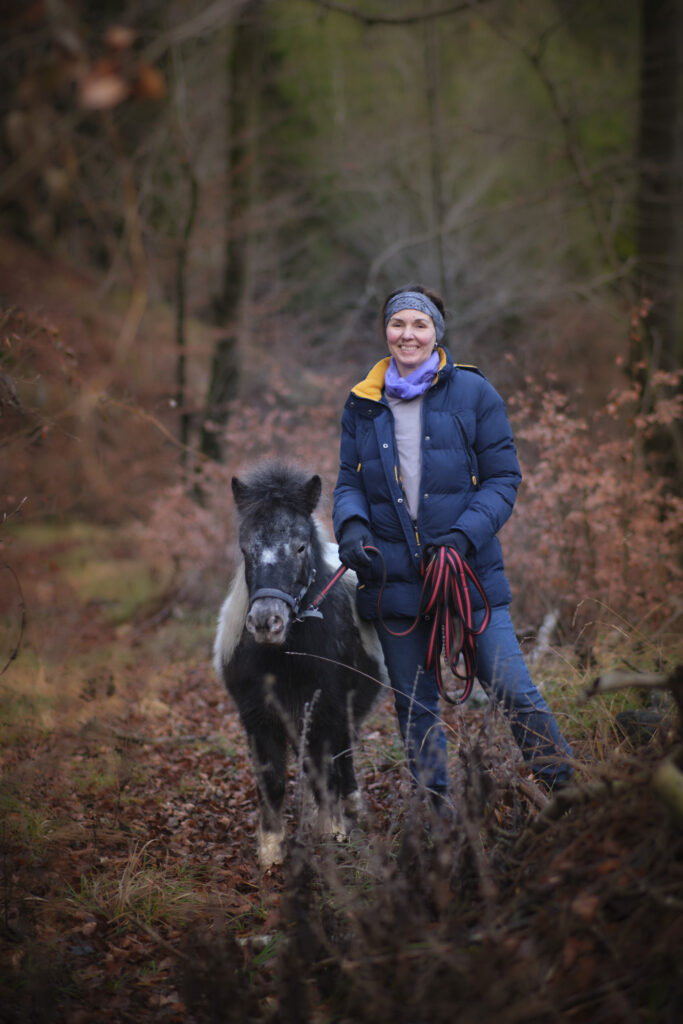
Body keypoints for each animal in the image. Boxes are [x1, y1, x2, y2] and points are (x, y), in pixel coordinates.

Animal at [213, 462, 384, 869]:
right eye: (246, 548)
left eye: (301, 545)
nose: (266, 622)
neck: (286, 658)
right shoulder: (258, 719)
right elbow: (272, 780)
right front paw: (271, 848)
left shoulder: (327, 712)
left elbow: (327, 771)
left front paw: (332, 831)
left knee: (344, 754)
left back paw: (352, 805)